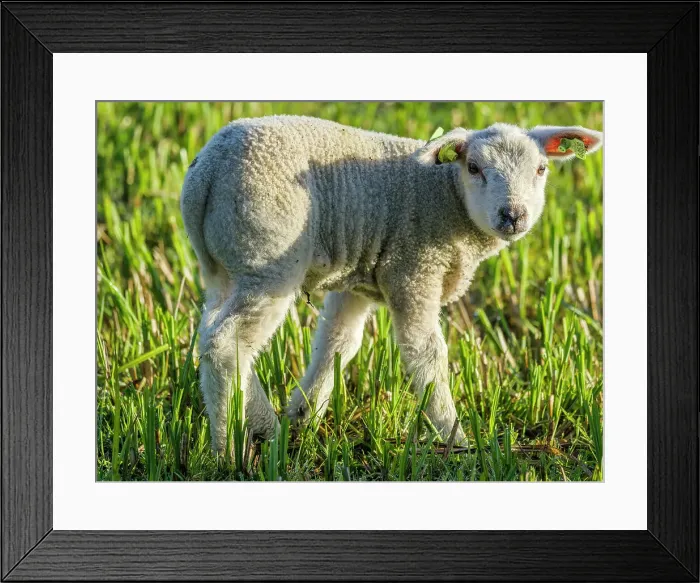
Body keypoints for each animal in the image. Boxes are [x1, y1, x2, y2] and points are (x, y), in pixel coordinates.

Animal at [180, 115, 602, 453]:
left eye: (542, 169)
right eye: (474, 167)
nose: (513, 215)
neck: (446, 196)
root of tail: (208, 169)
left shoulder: (356, 279)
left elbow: (337, 344)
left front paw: (306, 413)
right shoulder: (413, 270)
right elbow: (425, 353)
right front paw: (455, 438)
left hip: (224, 266)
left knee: (214, 334)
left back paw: (262, 422)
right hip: (269, 258)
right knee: (226, 345)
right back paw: (229, 447)